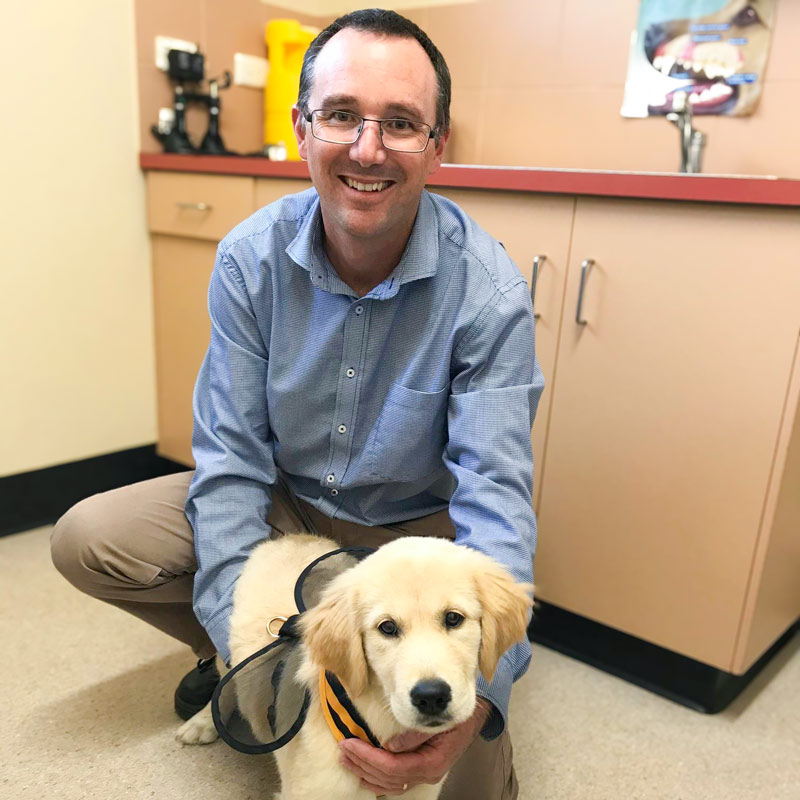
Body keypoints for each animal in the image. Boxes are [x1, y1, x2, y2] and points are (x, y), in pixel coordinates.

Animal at [175, 532, 532, 800]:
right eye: (387, 628)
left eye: (454, 619)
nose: (431, 697)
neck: (376, 725)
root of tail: (293, 537)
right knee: (225, 687)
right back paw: (202, 723)